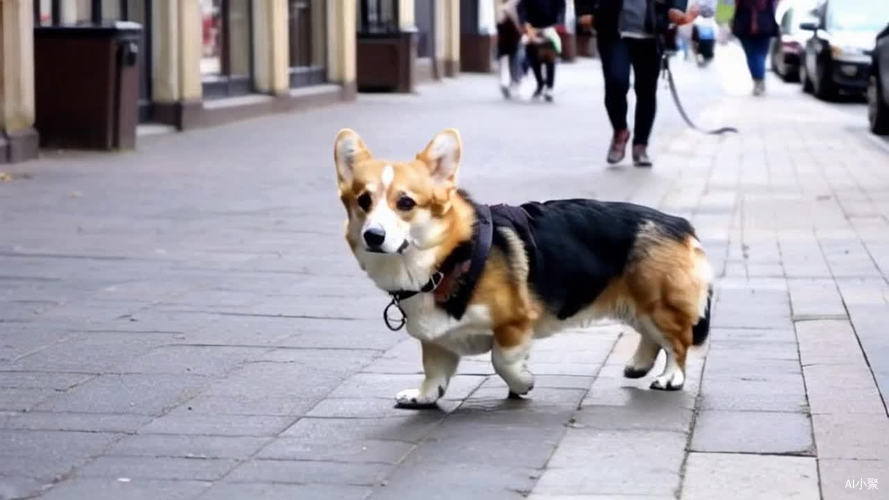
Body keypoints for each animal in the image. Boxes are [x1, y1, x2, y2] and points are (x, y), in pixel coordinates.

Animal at [334, 127, 716, 408]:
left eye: (405, 203)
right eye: (363, 201)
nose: (373, 236)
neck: (447, 256)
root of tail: (680, 224)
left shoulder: (515, 323)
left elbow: (501, 360)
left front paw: (522, 384)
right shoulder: (437, 339)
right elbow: (434, 370)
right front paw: (424, 397)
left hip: (659, 304)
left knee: (677, 342)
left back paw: (670, 377)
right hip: (636, 303)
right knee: (651, 337)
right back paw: (638, 365)